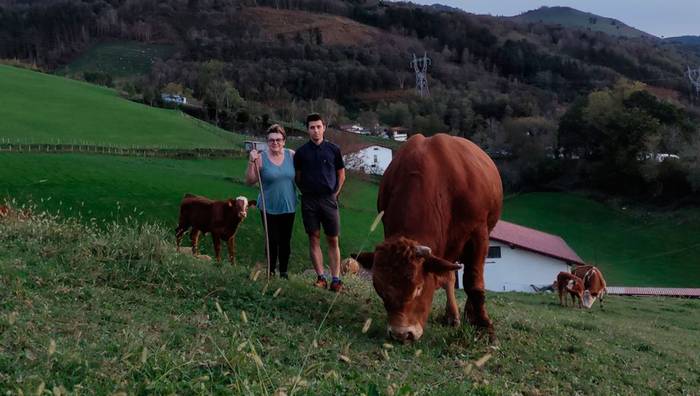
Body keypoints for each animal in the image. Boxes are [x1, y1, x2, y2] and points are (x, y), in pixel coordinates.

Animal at [356, 134, 504, 340]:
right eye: (380, 290)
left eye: (418, 288)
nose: (401, 334)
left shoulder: (478, 233)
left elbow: (474, 281)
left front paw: (483, 326)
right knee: (448, 276)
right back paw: (452, 315)